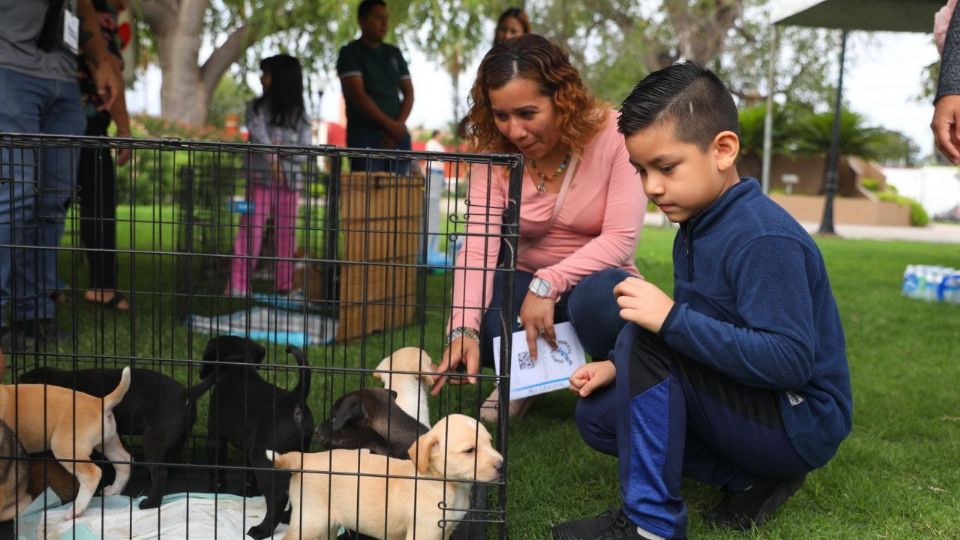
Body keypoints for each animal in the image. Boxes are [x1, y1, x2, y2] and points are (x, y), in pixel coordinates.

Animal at [0, 362, 130, 524]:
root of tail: (99, 403)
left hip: (65, 447)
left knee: (92, 473)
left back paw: (75, 511)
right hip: (108, 442)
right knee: (124, 461)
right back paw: (114, 490)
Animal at [201, 336, 314, 536]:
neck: (238, 366)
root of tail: (294, 399)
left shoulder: (215, 438)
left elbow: (216, 467)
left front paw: (215, 489)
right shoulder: (249, 445)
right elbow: (248, 473)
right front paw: (248, 491)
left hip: (263, 459)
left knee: (278, 497)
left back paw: (262, 530)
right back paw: (289, 518)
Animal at [262, 416, 502, 536]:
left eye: (490, 442)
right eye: (470, 450)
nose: (501, 465)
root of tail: (305, 459)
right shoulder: (424, 532)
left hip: (326, 525)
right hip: (310, 521)